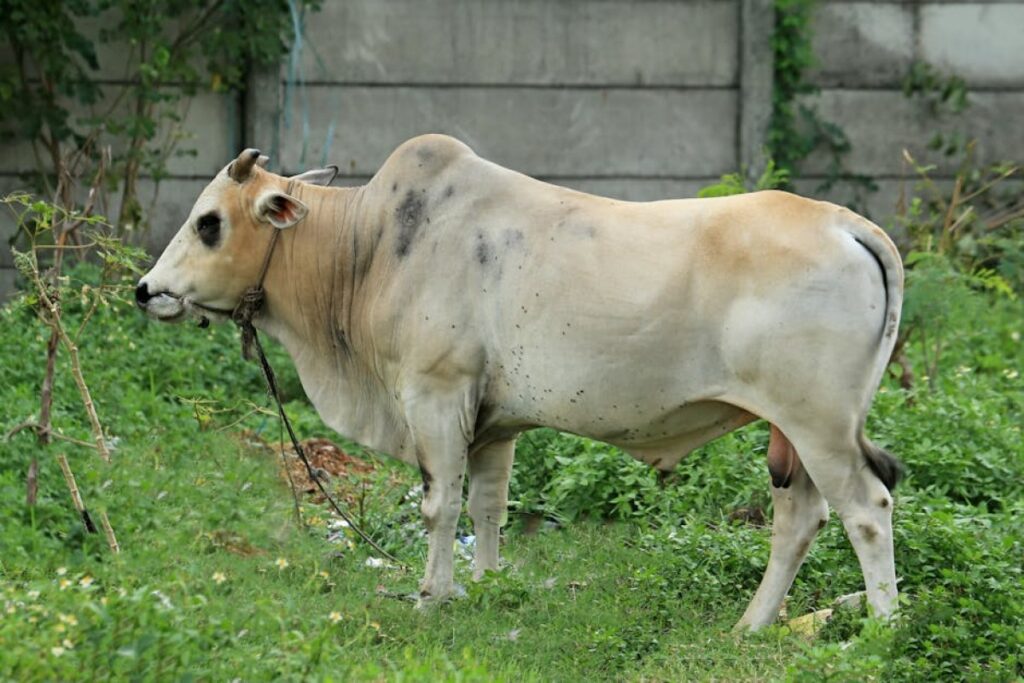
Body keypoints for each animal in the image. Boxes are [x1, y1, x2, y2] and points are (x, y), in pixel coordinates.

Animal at [136, 135, 904, 630]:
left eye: (208, 222)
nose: (147, 290)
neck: (371, 246)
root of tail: (851, 226)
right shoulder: (492, 422)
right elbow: (487, 509)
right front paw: (481, 588)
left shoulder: (435, 395)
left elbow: (439, 507)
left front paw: (431, 596)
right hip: (790, 434)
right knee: (800, 518)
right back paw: (753, 625)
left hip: (820, 425)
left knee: (867, 509)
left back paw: (881, 630)